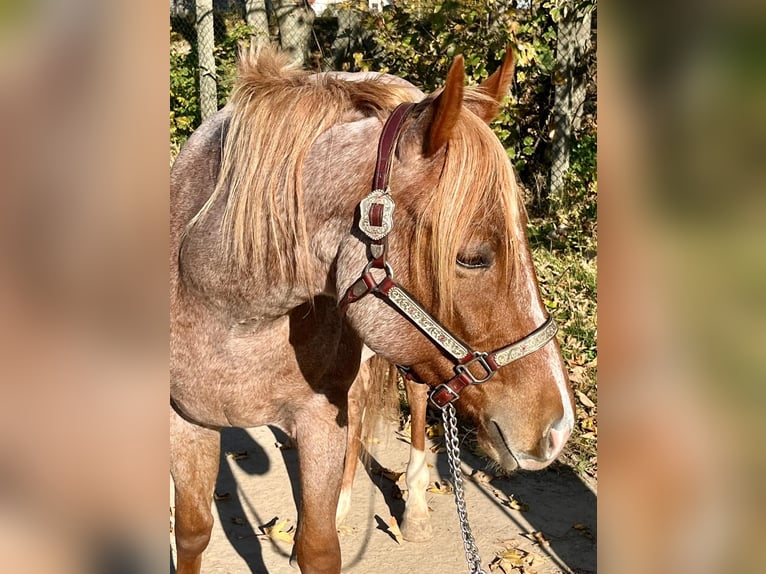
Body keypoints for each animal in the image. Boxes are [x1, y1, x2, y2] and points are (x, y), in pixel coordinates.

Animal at [170, 46, 576, 574]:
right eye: (472, 257)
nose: (559, 429)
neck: (230, 306)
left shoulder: (319, 419)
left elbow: (318, 548)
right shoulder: (186, 423)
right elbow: (193, 532)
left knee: (418, 406)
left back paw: (416, 509)